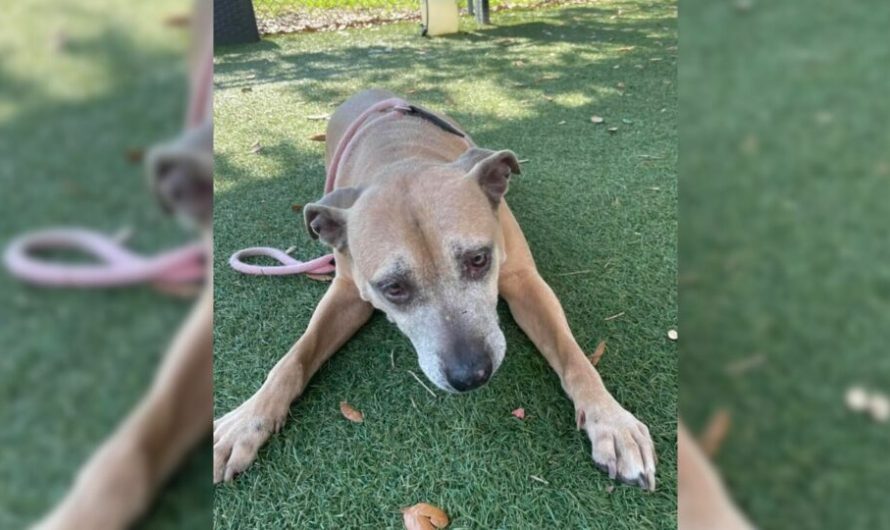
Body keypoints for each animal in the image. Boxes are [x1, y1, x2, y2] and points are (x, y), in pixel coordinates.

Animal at [212, 88, 656, 488]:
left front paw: (612, 422)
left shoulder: (524, 281)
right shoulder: (345, 294)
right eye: (393, 287)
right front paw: (244, 422)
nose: (471, 375)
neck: (399, 156)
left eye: (478, 259)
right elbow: (293, 358)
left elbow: (573, 355)